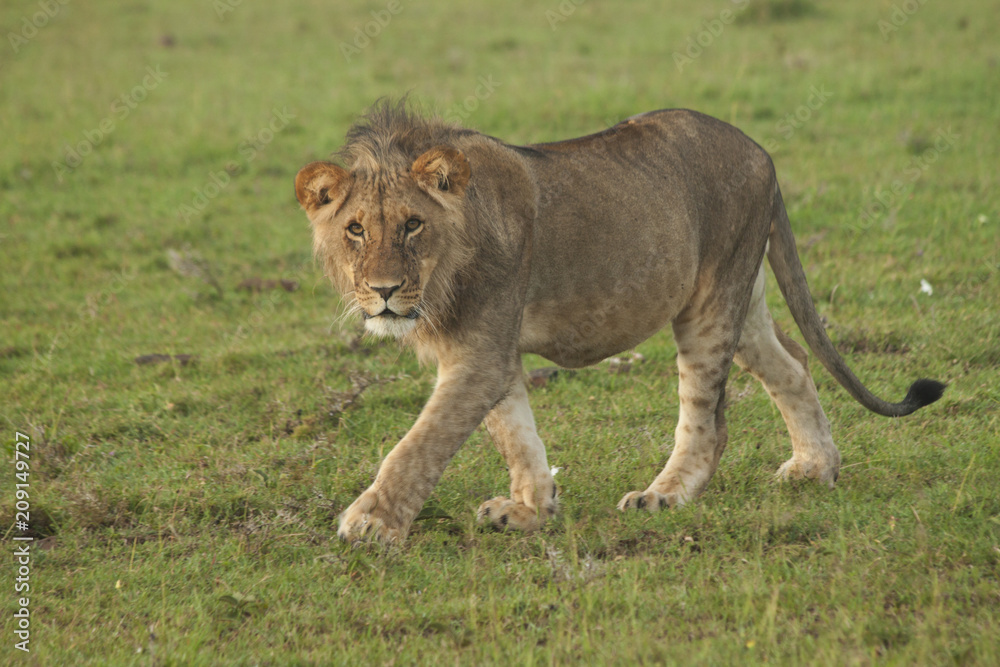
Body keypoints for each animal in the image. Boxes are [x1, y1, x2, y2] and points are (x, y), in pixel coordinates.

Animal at [294, 101, 945, 544]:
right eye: (356, 229)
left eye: (412, 225)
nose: (383, 292)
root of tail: (760, 151)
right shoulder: (485, 351)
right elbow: (514, 431)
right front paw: (531, 509)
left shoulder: (480, 353)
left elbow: (419, 445)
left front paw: (370, 522)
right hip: (741, 296)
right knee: (792, 363)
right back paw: (815, 468)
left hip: (709, 306)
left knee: (709, 422)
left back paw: (664, 496)